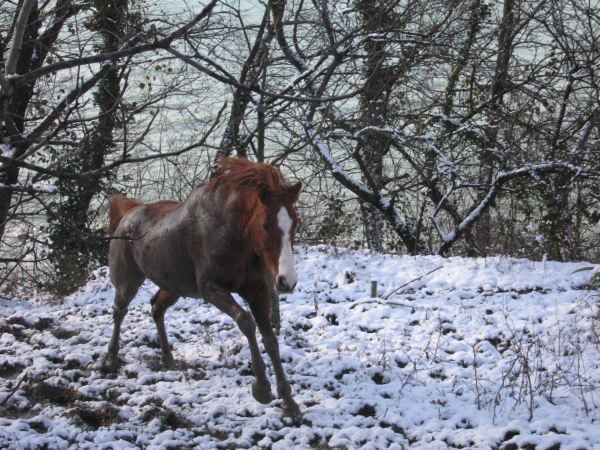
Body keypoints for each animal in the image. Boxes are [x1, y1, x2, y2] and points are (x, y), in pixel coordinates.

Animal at [103, 156, 302, 420]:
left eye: (294, 223)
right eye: (266, 225)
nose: (287, 281)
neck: (230, 233)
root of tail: (128, 212)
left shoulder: (256, 289)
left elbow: (269, 337)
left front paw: (289, 401)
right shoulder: (210, 288)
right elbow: (246, 322)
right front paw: (261, 388)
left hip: (173, 286)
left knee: (156, 308)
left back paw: (168, 358)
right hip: (127, 282)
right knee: (119, 311)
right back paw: (111, 360)